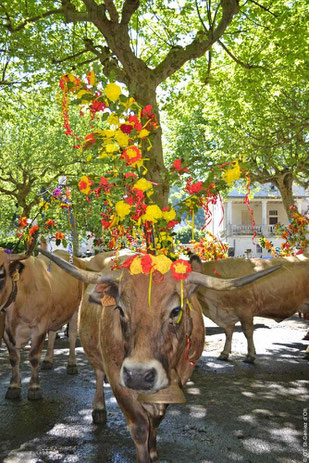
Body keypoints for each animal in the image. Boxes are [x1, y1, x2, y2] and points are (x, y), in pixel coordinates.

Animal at [0, 252, 83, 400]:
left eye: (1, 274)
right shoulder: (5, 330)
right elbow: (13, 358)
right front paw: (14, 386)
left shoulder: (39, 327)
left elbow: (33, 356)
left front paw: (34, 388)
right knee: (52, 333)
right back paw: (48, 360)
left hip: (76, 308)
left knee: (72, 336)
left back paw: (72, 364)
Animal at [38, 248, 280, 462]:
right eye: (121, 310)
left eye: (176, 310)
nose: (138, 374)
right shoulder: (118, 378)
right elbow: (139, 426)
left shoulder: (181, 376)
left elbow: (157, 419)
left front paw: (153, 450)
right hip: (96, 354)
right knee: (98, 376)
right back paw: (99, 409)